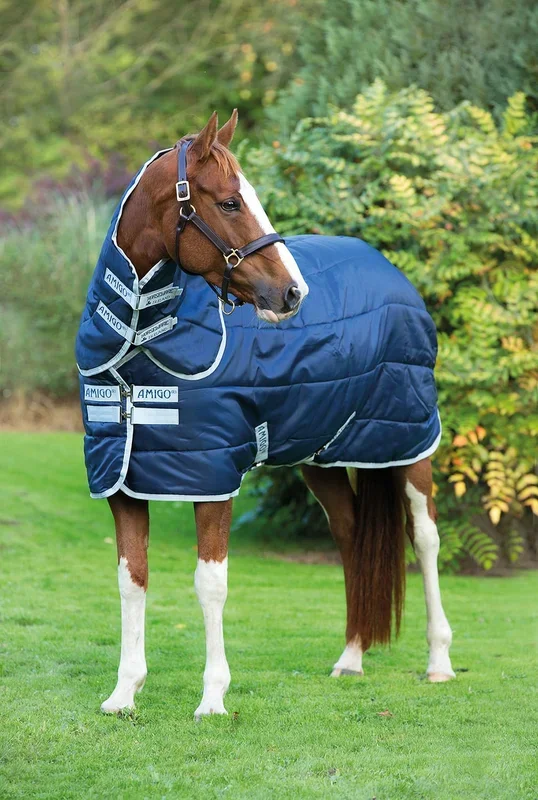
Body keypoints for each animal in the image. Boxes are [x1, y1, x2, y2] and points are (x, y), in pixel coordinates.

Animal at [76, 110, 454, 719]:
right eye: (231, 202)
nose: (293, 293)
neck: (138, 343)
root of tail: (393, 274)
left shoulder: (212, 478)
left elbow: (210, 584)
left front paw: (212, 698)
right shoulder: (123, 480)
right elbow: (132, 579)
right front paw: (124, 693)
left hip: (407, 443)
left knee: (425, 538)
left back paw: (439, 661)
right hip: (322, 456)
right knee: (351, 534)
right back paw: (351, 659)